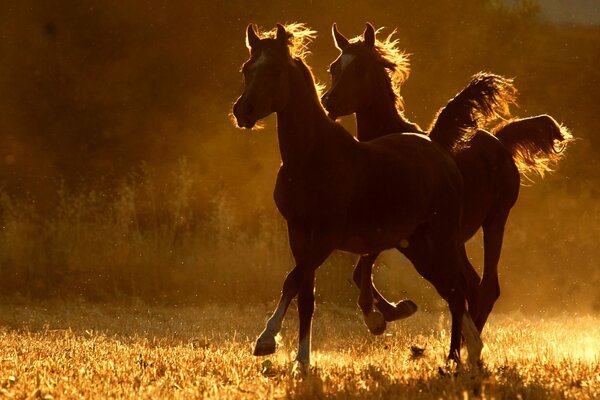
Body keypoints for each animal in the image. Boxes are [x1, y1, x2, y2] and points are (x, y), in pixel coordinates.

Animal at [231, 24, 482, 368]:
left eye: (276, 70)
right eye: (247, 68)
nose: (242, 111)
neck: (312, 159)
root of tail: (442, 154)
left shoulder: (327, 236)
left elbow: (293, 280)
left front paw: (267, 340)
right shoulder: (298, 232)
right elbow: (305, 294)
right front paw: (302, 359)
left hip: (440, 239)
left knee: (457, 291)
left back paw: (456, 358)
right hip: (417, 246)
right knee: (453, 290)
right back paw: (469, 351)